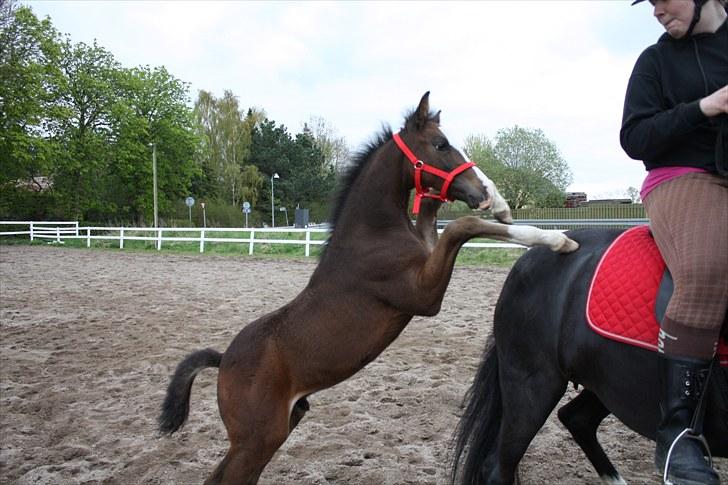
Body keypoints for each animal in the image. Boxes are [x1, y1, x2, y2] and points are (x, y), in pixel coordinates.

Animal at [159, 91, 580, 484]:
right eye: (440, 144)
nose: (482, 192)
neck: (370, 235)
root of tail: (223, 360)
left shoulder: (426, 255)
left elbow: (434, 214)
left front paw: (504, 206)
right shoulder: (423, 296)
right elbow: (462, 226)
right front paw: (555, 238)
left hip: (277, 428)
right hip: (257, 437)